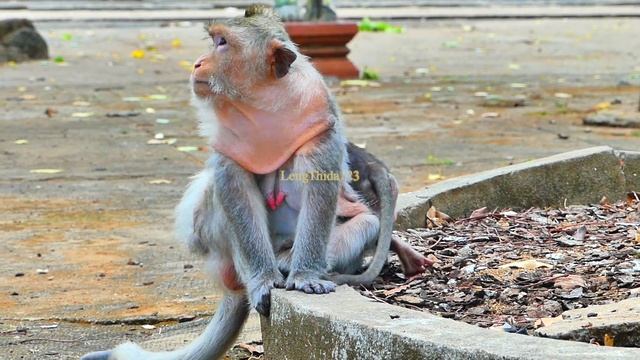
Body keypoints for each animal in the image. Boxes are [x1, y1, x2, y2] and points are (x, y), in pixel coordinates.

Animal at [81, 5, 430, 360]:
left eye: (221, 43)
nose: (197, 62)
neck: (264, 102)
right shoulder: (228, 142)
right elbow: (236, 192)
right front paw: (264, 281)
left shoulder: (321, 130)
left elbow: (321, 191)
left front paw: (306, 275)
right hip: (216, 245)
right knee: (219, 200)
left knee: (366, 222)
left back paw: (291, 262)